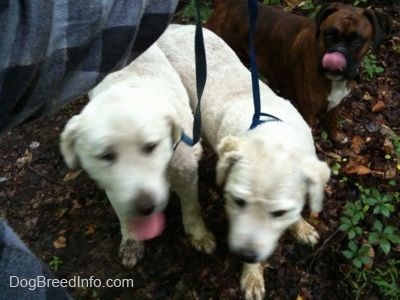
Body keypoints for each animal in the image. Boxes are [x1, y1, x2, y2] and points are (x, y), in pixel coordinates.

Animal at [59, 41, 216, 268]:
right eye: (105, 156)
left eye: (151, 146)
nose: (145, 206)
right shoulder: (114, 190)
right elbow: (125, 217)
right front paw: (131, 242)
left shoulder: (186, 175)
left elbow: (192, 208)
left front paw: (199, 234)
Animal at [158, 25, 330, 300]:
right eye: (238, 201)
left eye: (280, 212)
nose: (246, 255)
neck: (272, 134)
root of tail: (173, 28)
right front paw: (252, 276)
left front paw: (301, 227)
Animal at [206, 1, 390, 142]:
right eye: (329, 34)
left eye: (358, 40)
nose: (338, 53)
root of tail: (225, 5)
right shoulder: (308, 114)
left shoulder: (337, 103)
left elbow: (332, 122)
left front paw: (336, 138)